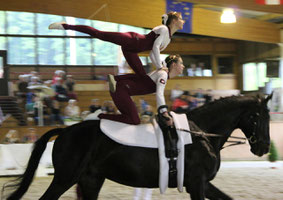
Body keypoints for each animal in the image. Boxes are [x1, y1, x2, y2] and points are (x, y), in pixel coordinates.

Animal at [4, 94, 272, 199]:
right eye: (258, 117)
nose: (264, 148)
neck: (201, 133)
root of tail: (66, 130)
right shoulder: (197, 183)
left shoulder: (204, 183)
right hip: (64, 178)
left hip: (90, 180)